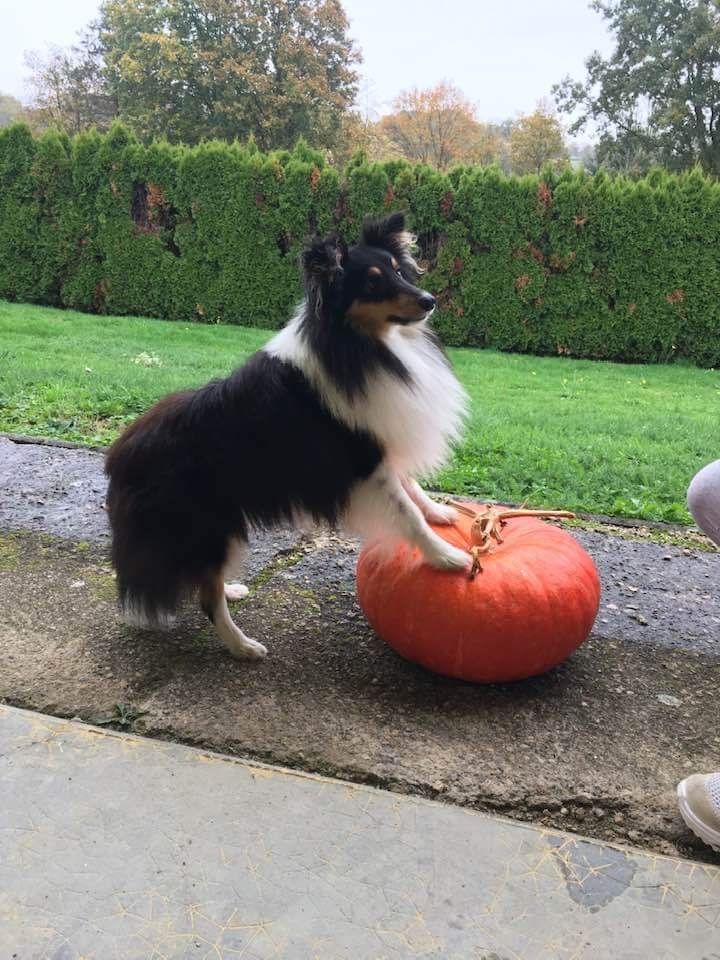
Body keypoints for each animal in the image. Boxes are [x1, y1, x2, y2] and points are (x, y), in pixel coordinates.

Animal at [104, 213, 470, 656]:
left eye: (400, 271)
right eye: (371, 284)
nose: (429, 300)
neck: (357, 347)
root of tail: (119, 456)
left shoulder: (382, 443)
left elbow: (413, 488)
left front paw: (440, 512)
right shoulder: (366, 464)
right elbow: (407, 513)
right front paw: (447, 557)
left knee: (206, 582)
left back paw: (232, 590)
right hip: (211, 528)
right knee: (208, 598)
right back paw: (244, 648)